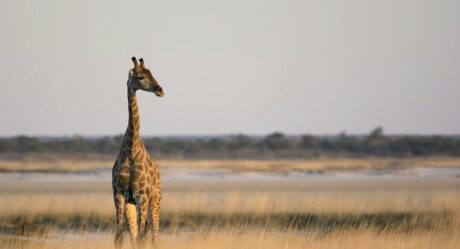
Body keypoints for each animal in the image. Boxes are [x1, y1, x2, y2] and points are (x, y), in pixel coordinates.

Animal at [112, 57, 164, 249]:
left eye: (152, 73)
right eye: (140, 76)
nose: (160, 90)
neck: (131, 151)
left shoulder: (142, 195)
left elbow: (142, 237)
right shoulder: (119, 194)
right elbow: (119, 235)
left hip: (155, 201)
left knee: (154, 236)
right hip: (132, 205)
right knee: (135, 234)